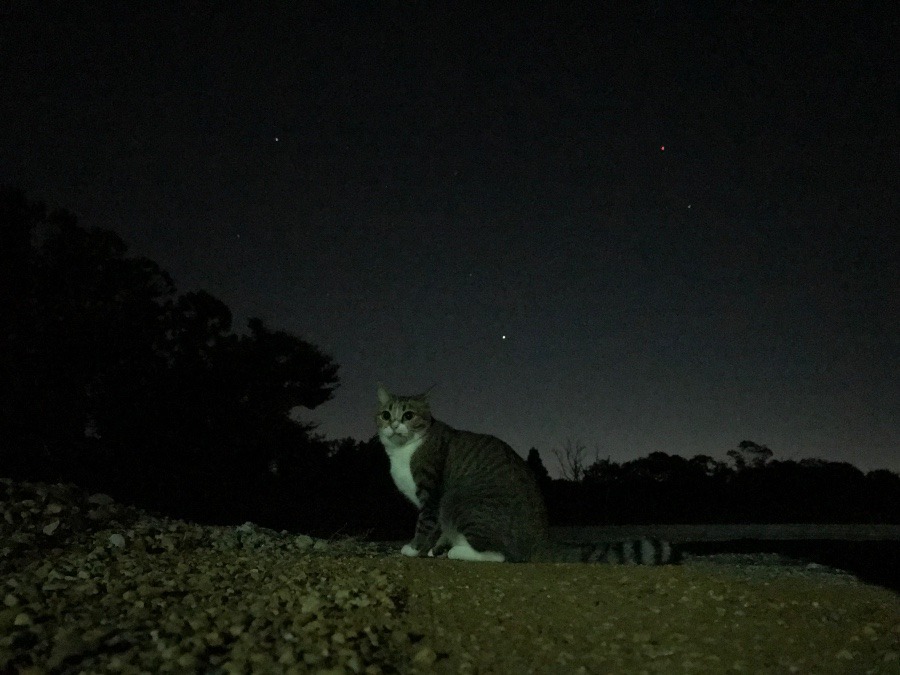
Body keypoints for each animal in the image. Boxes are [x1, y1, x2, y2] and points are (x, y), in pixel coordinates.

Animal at [372, 386, 676, 564]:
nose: (394, 424)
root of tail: (541, 538)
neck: (404, 450)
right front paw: (432, 547)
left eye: (409, 415)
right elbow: (437, 530)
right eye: (386, 414)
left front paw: (414, 548)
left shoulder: (432, 495)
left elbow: (425, 524)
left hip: (462, 501)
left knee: (501, 555)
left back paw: (458, 552)